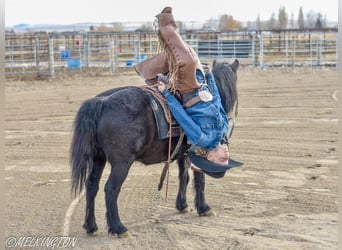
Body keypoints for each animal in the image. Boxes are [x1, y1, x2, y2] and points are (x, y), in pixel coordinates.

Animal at [70, 58, 238, 236]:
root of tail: (102, 102)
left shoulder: (183, 154)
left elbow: (183, 177)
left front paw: (182, 205)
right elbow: (199, 179)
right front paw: (204, 208)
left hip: (98, 158)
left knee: (91, 186)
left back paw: (91, 226)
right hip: (121, 164)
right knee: (111, 189)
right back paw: (118, 227)